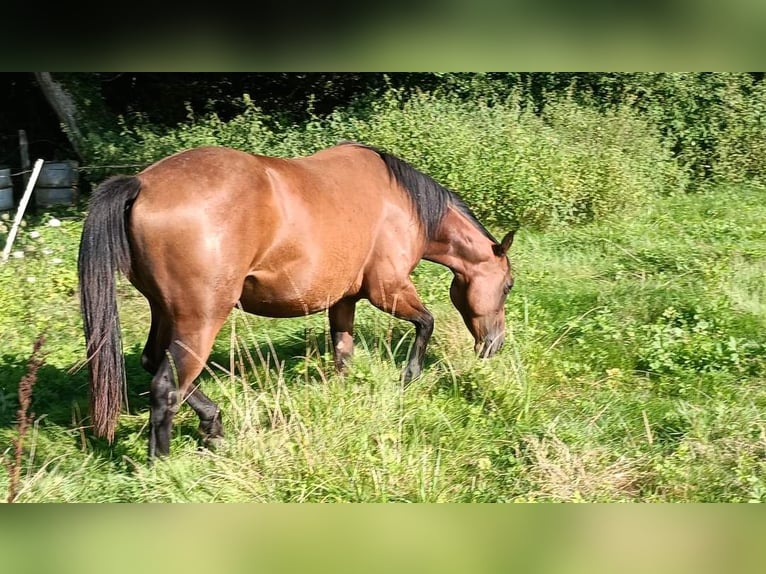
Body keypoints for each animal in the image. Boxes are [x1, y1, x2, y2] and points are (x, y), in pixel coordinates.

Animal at [78, 142, 520, 462]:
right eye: (508, 286)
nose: (494, 344)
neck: (403, 202)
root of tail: (142, 184)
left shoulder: (344, 300)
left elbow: (343, 352)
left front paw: (344, 395)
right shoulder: (388, 289)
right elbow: (425, 323)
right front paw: (409, 376)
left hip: (166, 312)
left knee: (157, 365)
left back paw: (212, 425)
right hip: (200, 320)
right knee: (168, 386)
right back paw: (165, 461)